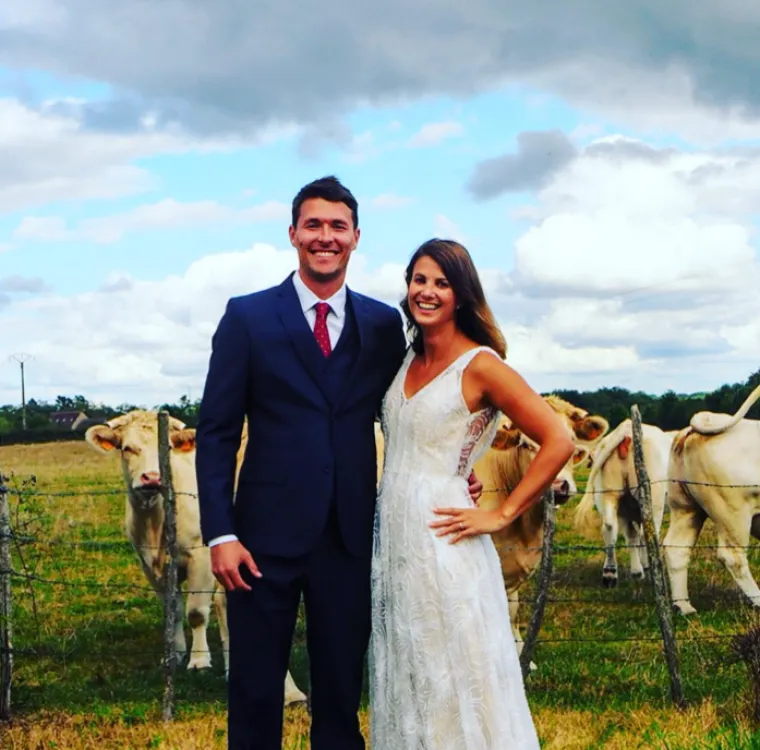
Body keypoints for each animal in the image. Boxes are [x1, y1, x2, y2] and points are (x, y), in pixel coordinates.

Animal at [85, 410, 307, 705]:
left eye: (166, 448)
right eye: (127, 448)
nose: (152, 478)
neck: (157, 520)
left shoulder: (200, 557)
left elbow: (197, 612)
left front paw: (199, 660)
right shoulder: (149, 566)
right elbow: (174, 609)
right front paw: (176, 653)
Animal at [573, 418, 678, 587]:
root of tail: (626, 431)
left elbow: (631, 536)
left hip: (611, 494)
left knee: (610, 527)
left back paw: (612, 573)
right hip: (653, 500)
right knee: (647, 532)